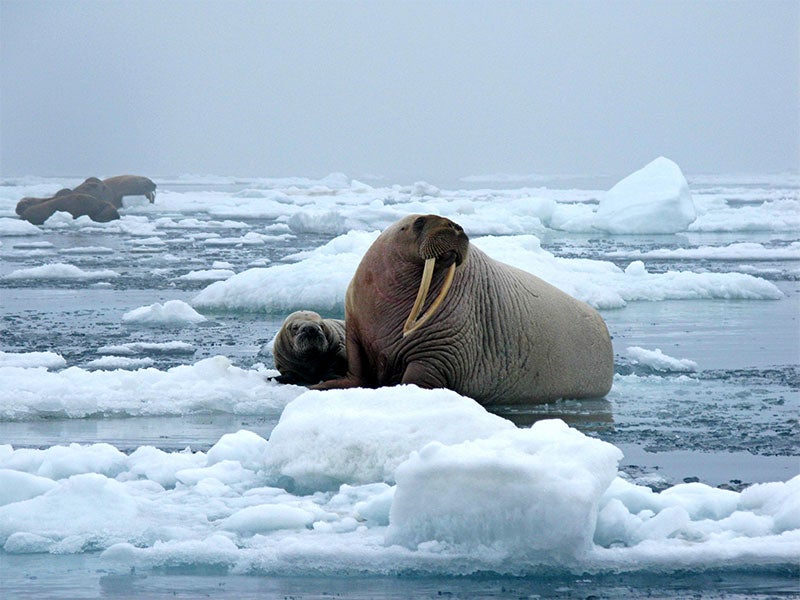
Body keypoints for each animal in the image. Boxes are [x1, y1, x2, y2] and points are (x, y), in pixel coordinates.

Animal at [316, 213, 616, 406]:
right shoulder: (356, 328)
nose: (455, 227)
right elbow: (357, 369)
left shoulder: (441, 349)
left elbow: (419, 377)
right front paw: (320, 385)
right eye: (419, 222)